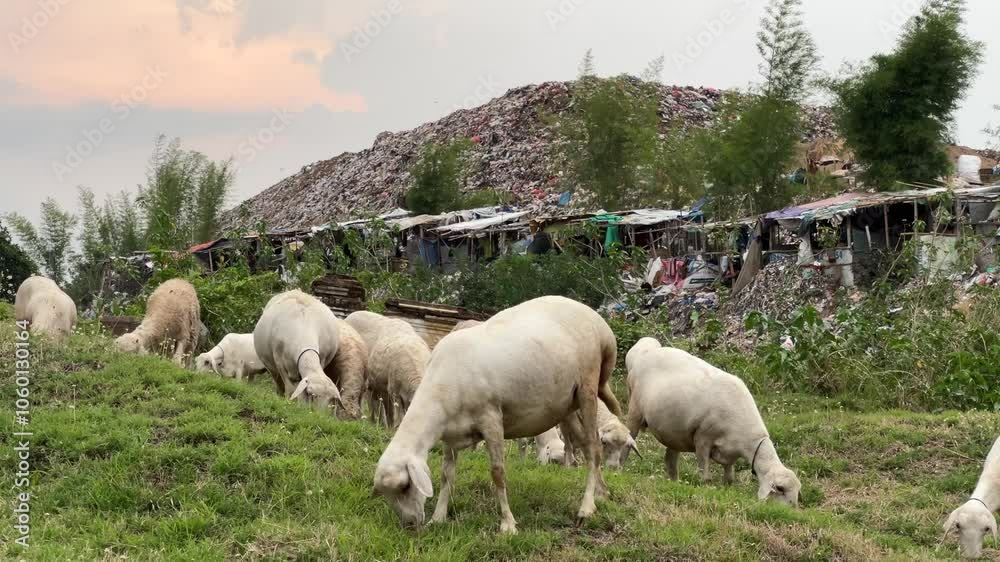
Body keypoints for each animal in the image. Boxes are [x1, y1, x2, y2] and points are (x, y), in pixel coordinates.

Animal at [372, 295, 623, 533]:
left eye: (405, 486)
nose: (410, 525)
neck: (441, 389)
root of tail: (601, 327)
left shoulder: (491, 418)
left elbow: (498, 473)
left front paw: (508, 524)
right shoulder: (451, 433)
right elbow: (446, 475)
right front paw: (438, 518)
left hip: (587, 388)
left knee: (594, 448)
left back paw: (586, 508)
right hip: (566, 405)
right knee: (587, 446)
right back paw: (601, 494)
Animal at [625, 338, 800, 506]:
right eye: (781, 489)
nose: (792, 511)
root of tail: (643, 353)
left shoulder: (730, 453)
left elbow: (729, 478)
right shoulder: (703, 438)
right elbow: (705, 475)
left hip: (673, 431)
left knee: (670, 460)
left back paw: (675, 483)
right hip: (635, 409)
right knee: (629, 440)